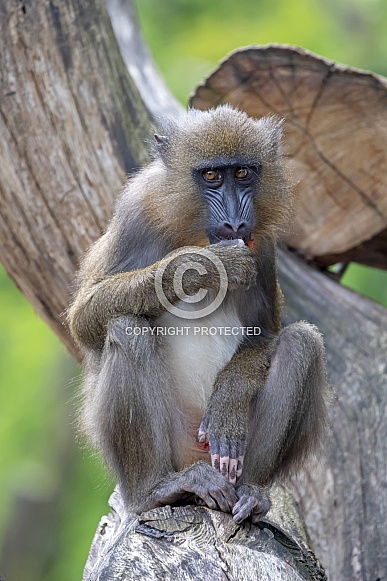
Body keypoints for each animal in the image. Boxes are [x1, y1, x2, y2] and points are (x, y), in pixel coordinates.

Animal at [68, 105, 328, 524]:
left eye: (243, 173)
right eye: (211, 176)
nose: (236, 223)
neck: (193, 230)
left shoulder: (262, 243)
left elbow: (266, 332)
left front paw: (229, 399)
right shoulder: (137, 213)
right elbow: (86, 316)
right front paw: (206, 266)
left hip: (228, 457)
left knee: (302, 344)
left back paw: (252, 493)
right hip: (174, 443)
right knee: (127, 327)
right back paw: (155, 490)